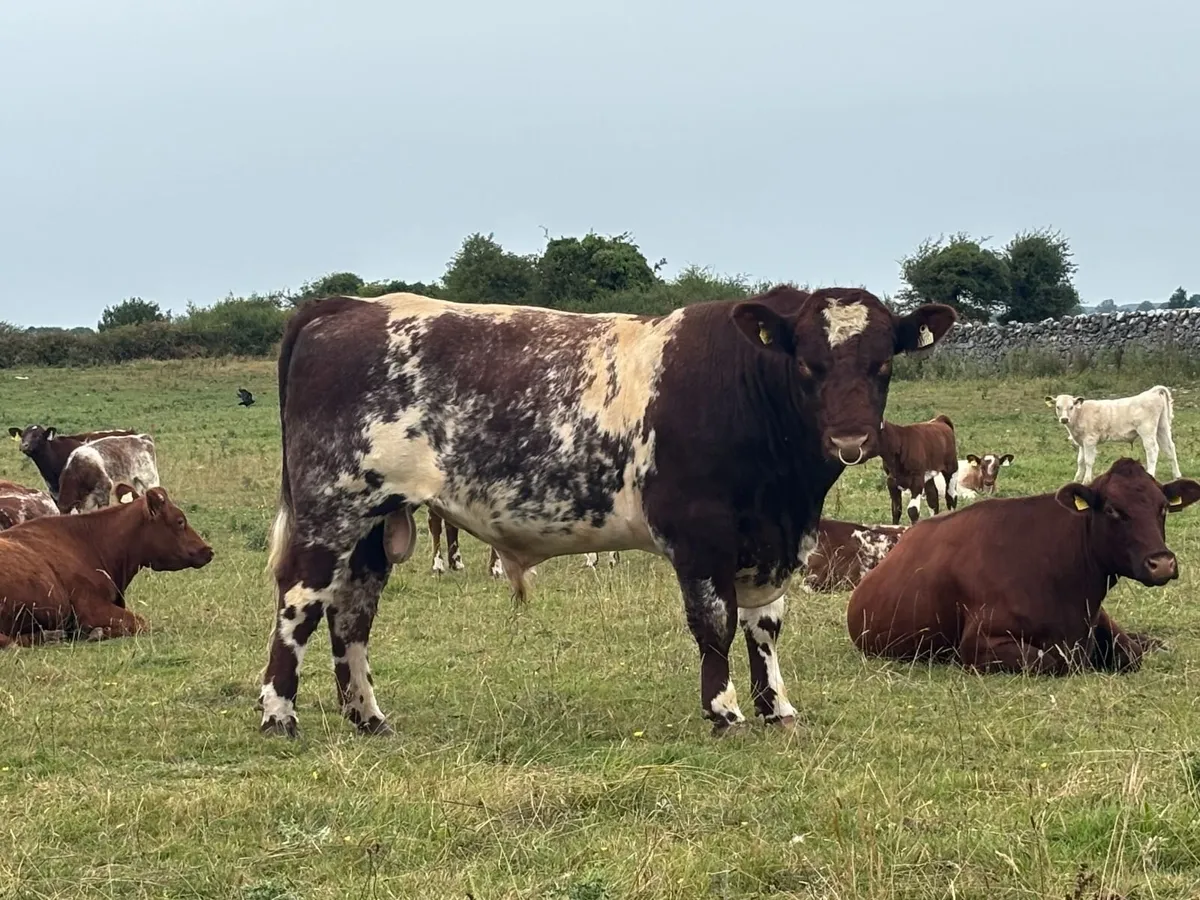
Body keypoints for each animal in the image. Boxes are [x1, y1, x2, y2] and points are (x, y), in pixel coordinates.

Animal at [0, 484, 214, 649]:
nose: (207, 550)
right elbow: (140, 622)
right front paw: (96, 633)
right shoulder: (91, 608)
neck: (91, 543)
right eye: (180, 521)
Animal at [847, 458, 1200, 675]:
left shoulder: (1097, 619)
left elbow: (1131, 654)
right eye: (1113, 510)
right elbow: (1053, 661)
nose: (1162, 563)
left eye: (1163, 508)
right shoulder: (977, 644)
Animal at [1047, 386, 1181, 483]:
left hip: (1147, 430)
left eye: (1071, 407)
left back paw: (1151, 474)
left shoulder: (1090, 440)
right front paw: (1076, 479)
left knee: (1152, 450)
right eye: (1058, 407)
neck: (1080, 414)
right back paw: (1177, 475)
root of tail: (1151, 392)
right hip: (1162, 427)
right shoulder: (1081, 442)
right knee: (1170, 448)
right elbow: (1080, 461)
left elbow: (1088, 461)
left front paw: (1086, 480)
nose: (1064, 419)